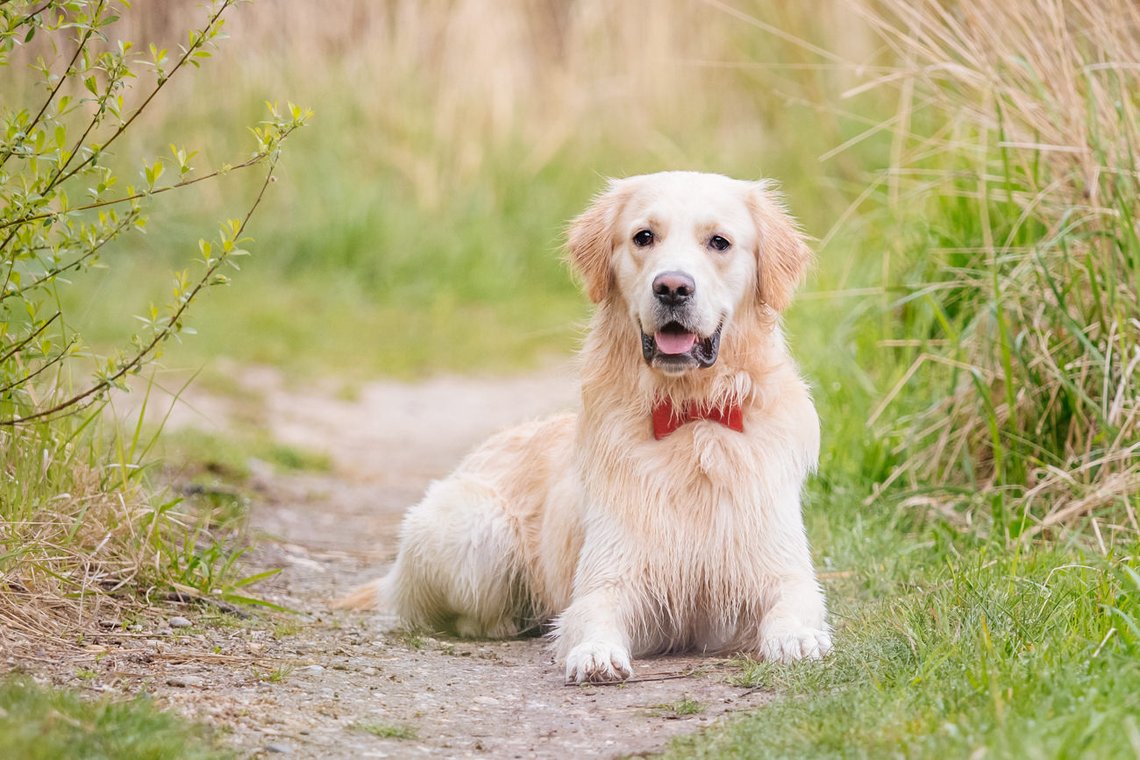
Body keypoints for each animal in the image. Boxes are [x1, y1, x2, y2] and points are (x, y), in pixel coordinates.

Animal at [342, 170, 834, 683]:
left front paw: (797, 639)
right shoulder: (609, 576)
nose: (672, 287)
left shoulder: (782, 568)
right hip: (474, 529)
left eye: (719, 241)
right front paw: (595, 653)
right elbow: (591, 613)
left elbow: (796, 603)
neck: (689, 415)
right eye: (644, 237)